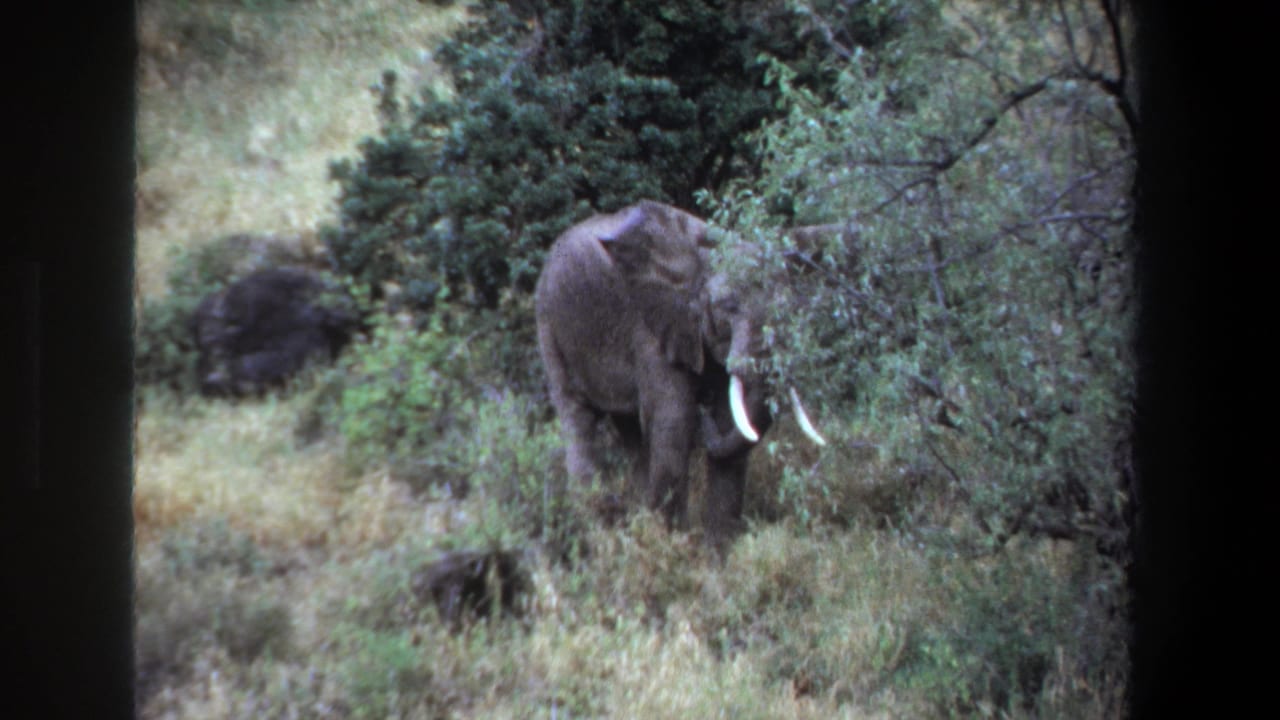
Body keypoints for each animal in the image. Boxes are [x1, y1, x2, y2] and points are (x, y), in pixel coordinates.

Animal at [534, 200, 825, 540]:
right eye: (728, 306)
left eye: (793, 309)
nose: (704, 414)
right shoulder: (652, 327)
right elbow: (675, 421)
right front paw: (672, 546)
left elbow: (727, 422)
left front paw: (715, 554)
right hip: (550, 326)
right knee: (577, 419)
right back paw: (595, 529)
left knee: (631, 431)